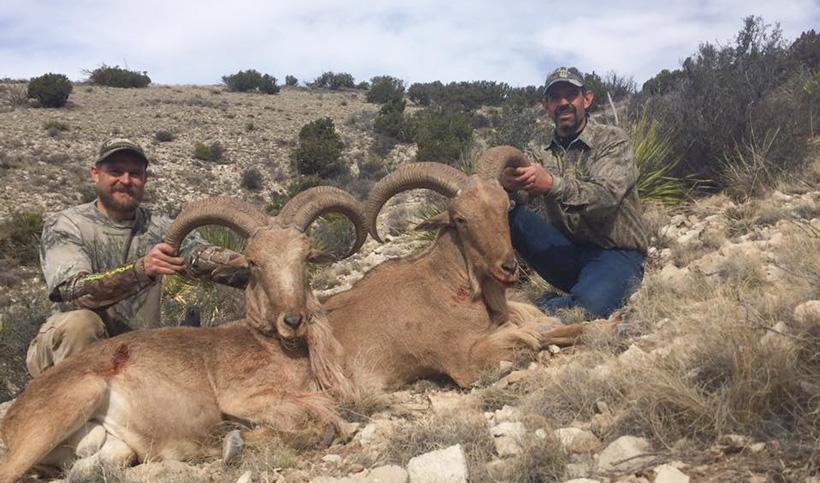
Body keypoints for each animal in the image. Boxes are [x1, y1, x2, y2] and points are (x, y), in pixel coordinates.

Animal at [0, 186, 366, 482]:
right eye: (253, 261)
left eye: (305, 257)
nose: (292, 320)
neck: (276, 350)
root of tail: (15, 412)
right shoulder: (242, 398)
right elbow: (320, 424)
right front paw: (231, 442)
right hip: (70, 405)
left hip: (111, 446)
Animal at [322, 146, 617, 388]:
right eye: (460, 219)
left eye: (505, 207)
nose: (508, 268)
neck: (445, 283)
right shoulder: (465, 360)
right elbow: (533, 336)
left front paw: (609, 323)